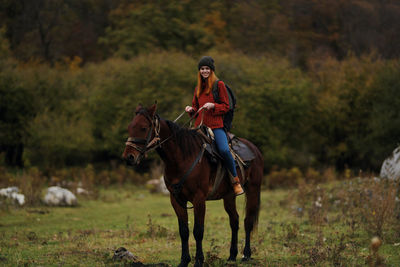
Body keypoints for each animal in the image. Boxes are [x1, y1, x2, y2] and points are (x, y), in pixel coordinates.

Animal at [120, 104, 262, 267]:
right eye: (130, 127)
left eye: (143, 128)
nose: (129, 157)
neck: (182, 158)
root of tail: (255, 149)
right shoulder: (176, 200)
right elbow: (184, 231)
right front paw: (184, 260)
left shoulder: (199, 199)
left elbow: (198, 231)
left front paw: (199, 260)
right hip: (229, 196)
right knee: (235, 220)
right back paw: (232, 255)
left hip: (253, 190)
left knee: (248, 221)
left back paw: (246, 255)